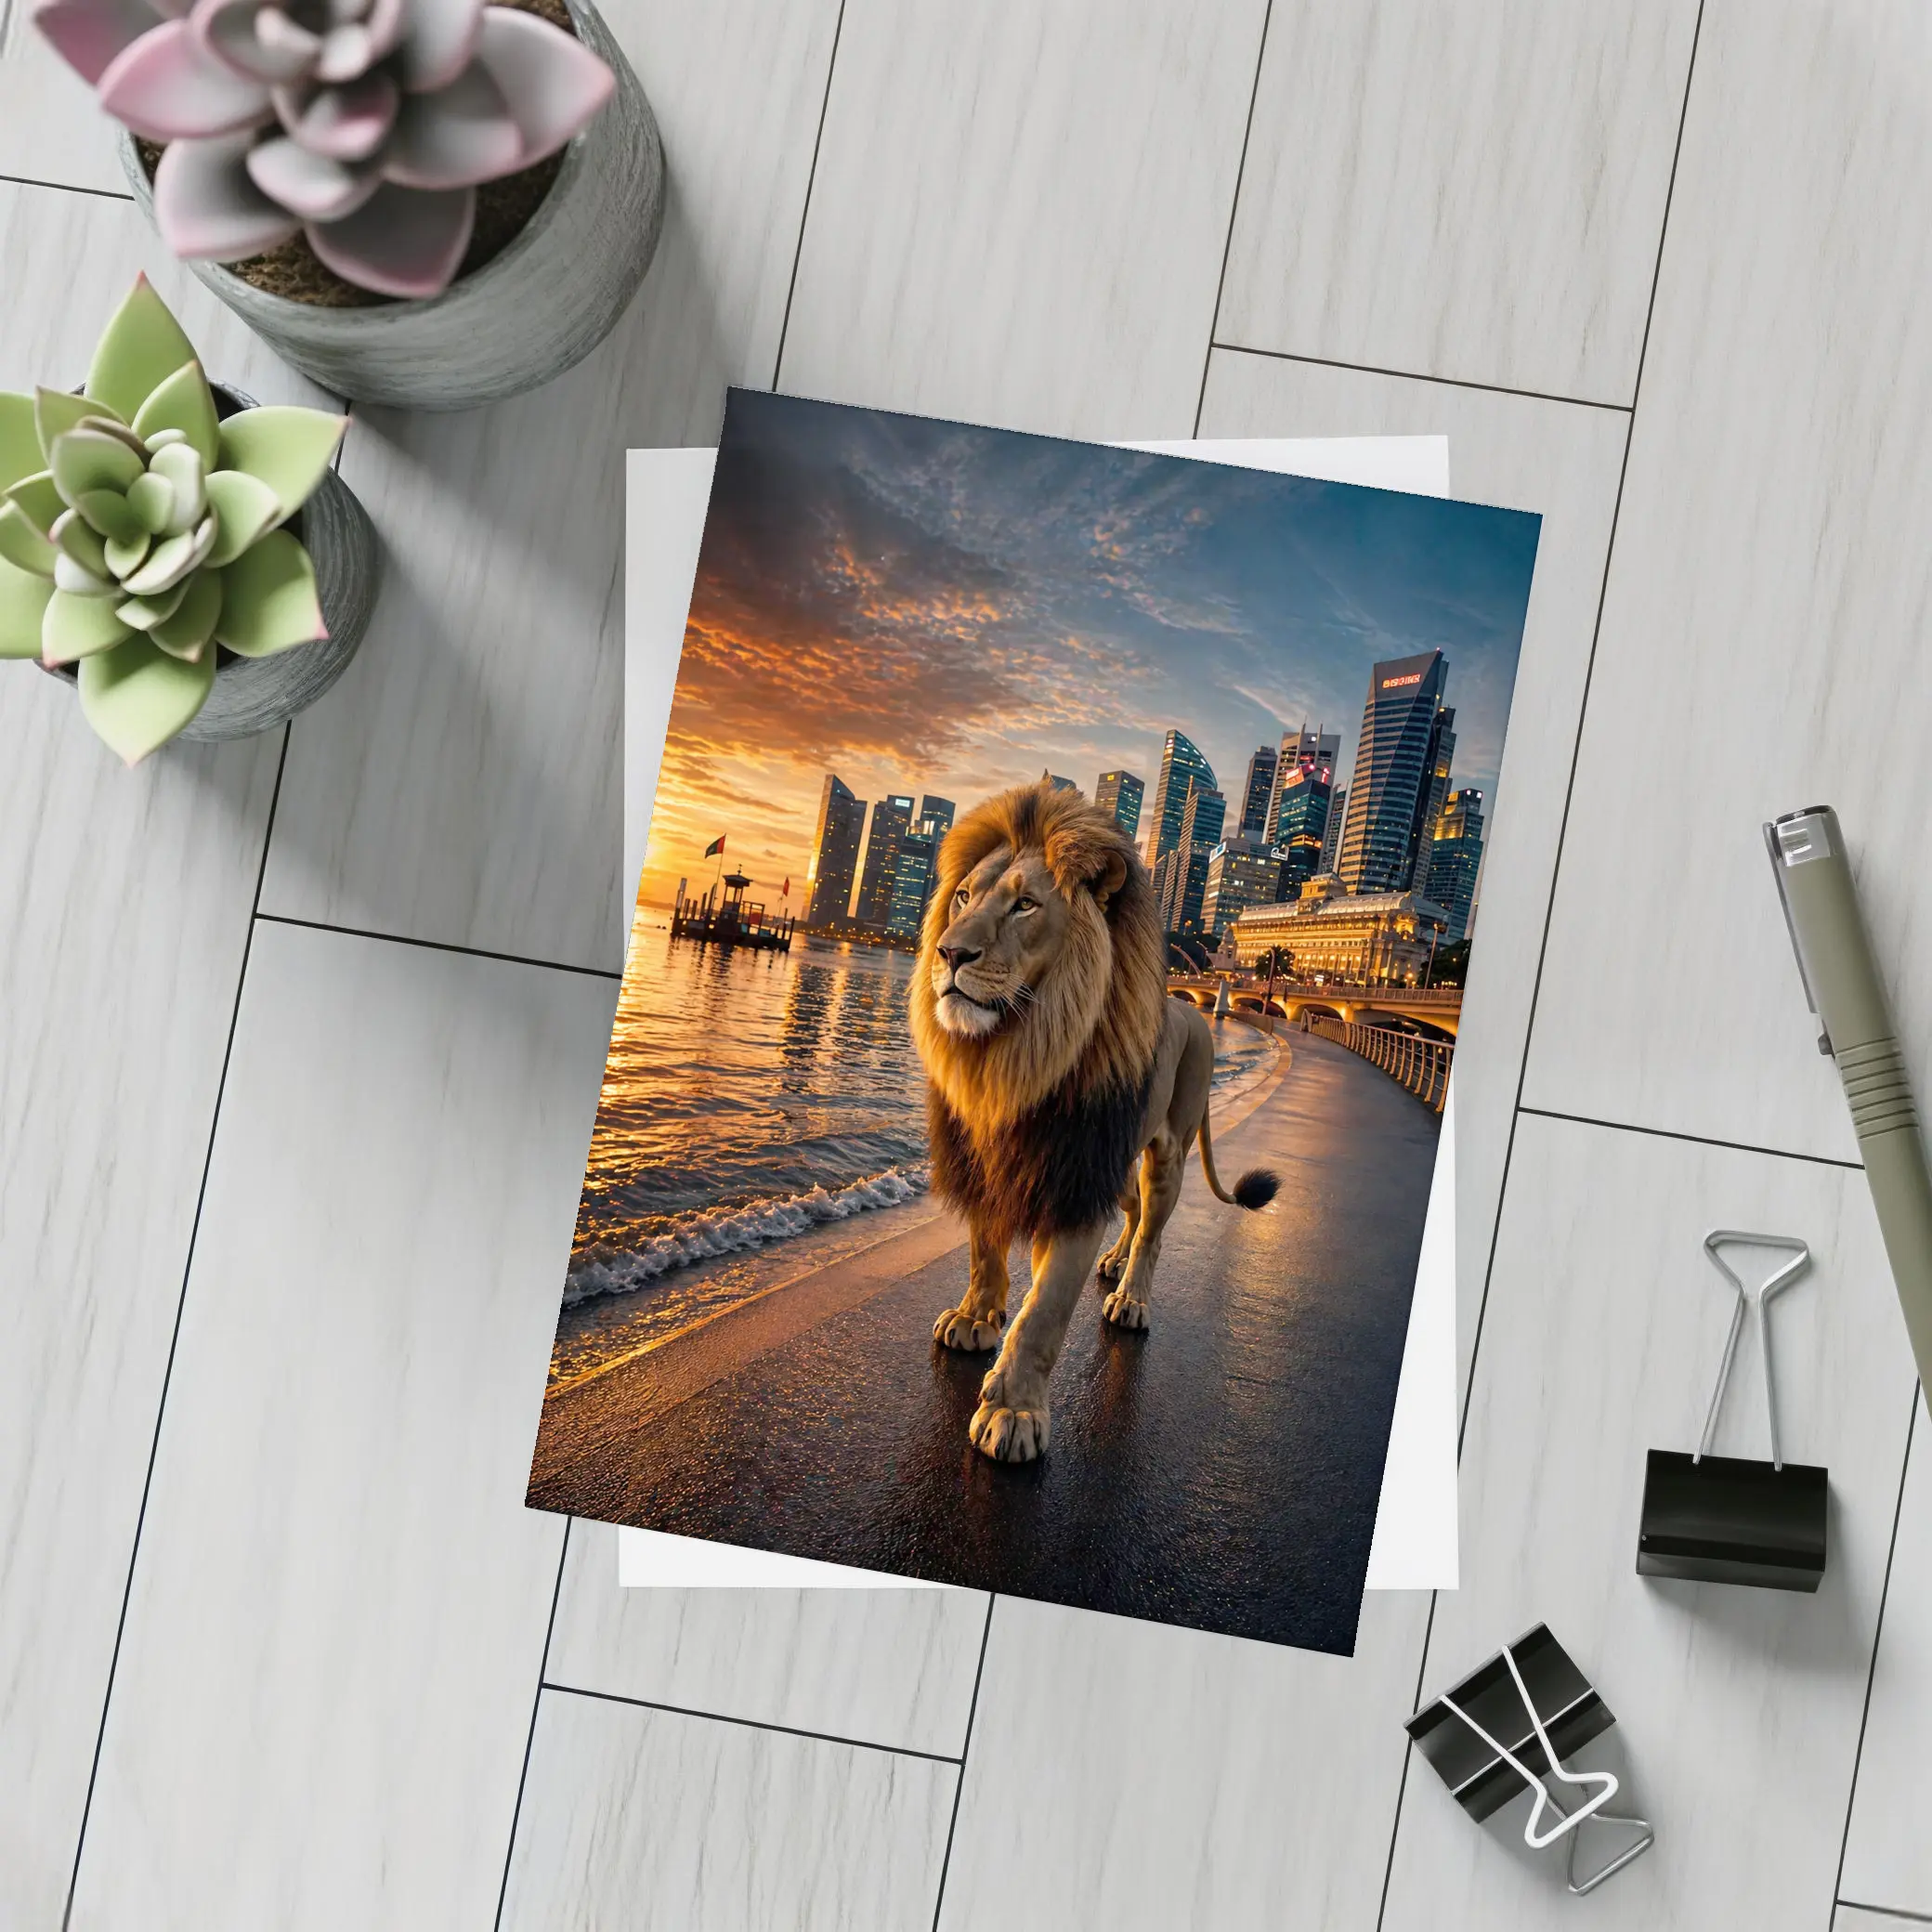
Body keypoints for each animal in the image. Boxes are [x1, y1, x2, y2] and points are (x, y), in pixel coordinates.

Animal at [910, 780, 1280, 1464]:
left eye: (1025, 905)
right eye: (963, 897)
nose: (949, 953)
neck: (1016, 1057)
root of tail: (1193, 1011)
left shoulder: (1075, 1181)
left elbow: (1045, 1310)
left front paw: (1013, 1411)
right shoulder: (989, 1161)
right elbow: (983, 1250)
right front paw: (975, 1318)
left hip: (1166, 1153)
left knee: (1153, 1232)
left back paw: (1129, 1295)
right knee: (1131, 1213)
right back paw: (1115, 1259)